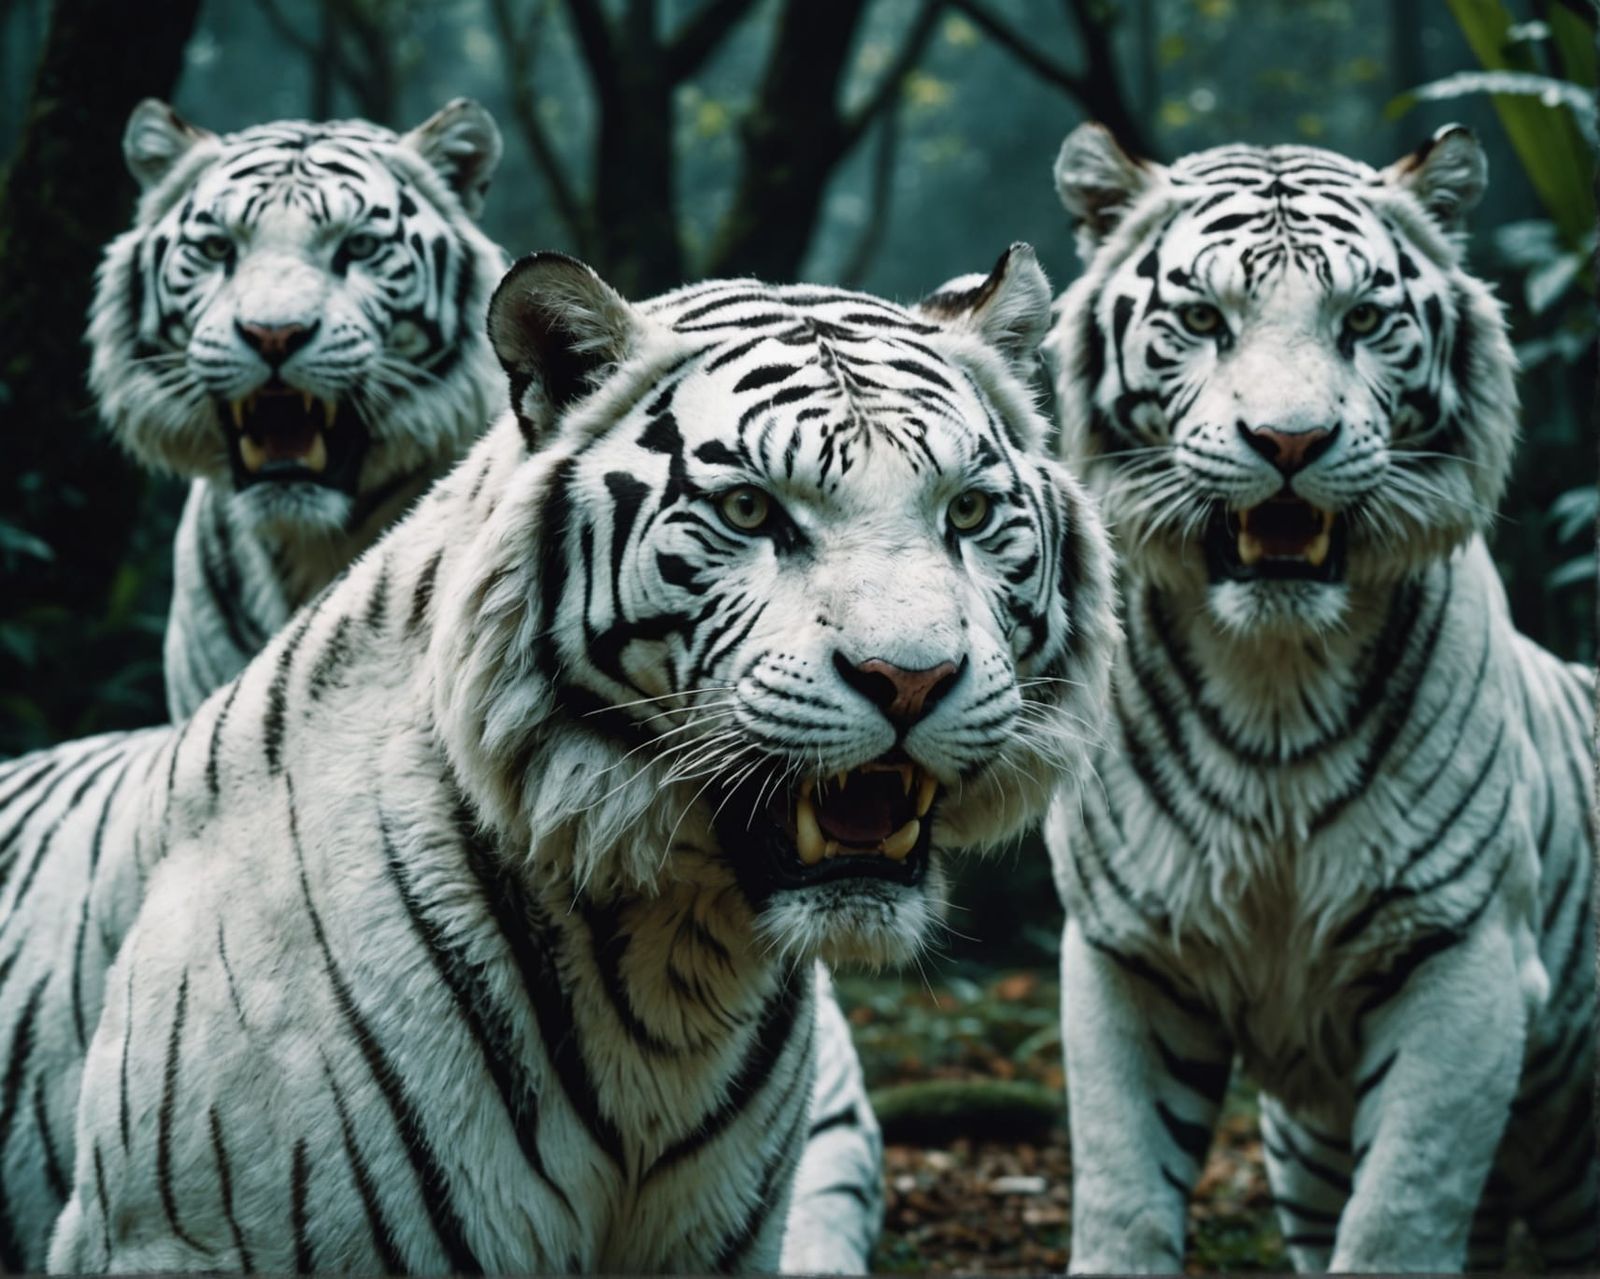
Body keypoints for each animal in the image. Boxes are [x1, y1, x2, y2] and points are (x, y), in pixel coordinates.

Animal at [1041, 120, 1596, 1273]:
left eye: (1363, 321)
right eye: (1202, 320)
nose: (1290, 441)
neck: (1275, 675)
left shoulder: (1462, 953)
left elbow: (1399, 1214)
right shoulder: (1127, 953)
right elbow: (1122, 1194)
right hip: (1304, 1152)